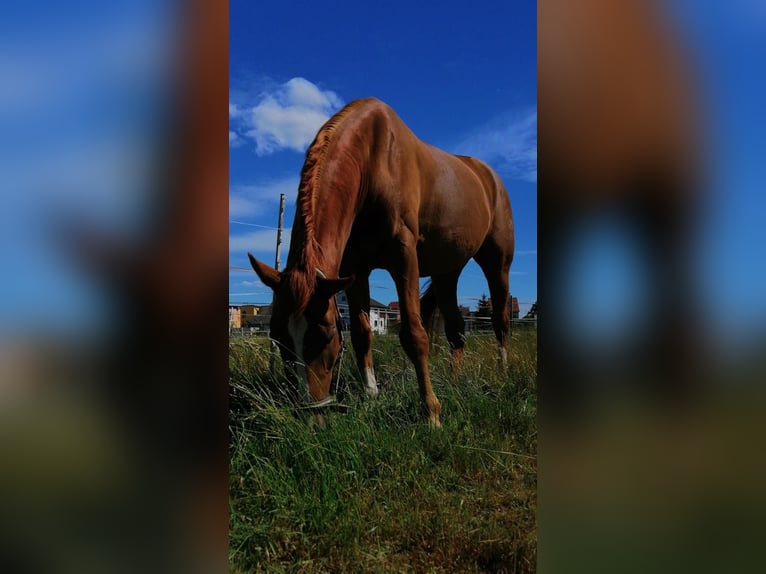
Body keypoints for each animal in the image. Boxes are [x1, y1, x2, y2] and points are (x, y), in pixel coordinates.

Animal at [252, 97, 516, 426]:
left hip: (498, 262)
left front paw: (431, 413)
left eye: (326, 335)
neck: (373, 161)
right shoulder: (354, 271)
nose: (311, 419)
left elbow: (414, 335)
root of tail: (488, 176)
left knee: (500, 321)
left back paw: (503, 373)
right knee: (456, 330)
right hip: (447, 271)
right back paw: (455, 382)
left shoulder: (404, 258)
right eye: (277, 336)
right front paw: (371, 396)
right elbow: (362, 334)